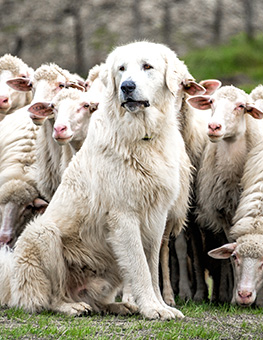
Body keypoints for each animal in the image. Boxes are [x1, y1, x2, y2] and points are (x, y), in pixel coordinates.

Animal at [0, 41, 192, 320]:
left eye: (147, 66)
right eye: (121, 69)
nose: (127, 87)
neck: (142, 137)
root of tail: (12, 284)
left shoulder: (157, 217)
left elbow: (152, 266)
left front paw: (160, 305)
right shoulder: (124, 216)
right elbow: (140, 268)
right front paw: (152, 309)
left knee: (96, 300)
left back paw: (119, 306)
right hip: (42, 233)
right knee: (51, 297)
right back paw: (72, 306)